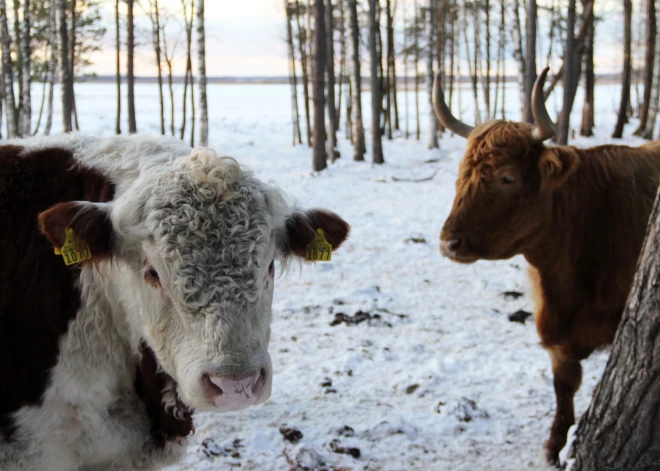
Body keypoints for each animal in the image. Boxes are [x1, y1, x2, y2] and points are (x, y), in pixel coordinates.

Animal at [430, 67, 660, 464]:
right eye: (463, 173)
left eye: (507, 177)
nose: (449, 242)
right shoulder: (557, 336)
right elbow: (563, 385)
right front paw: (555, 444)